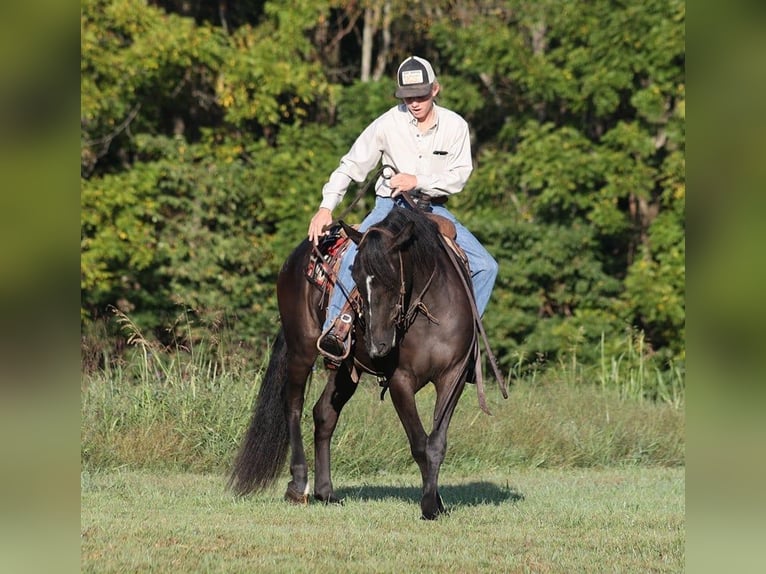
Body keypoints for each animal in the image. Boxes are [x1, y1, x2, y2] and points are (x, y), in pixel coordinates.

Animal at [229, 202, 505, 519]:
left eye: (392, 278)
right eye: (357, 279)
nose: (378, 344)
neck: (428, 312)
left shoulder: (453, 376)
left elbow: (436, 443)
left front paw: (436, 503)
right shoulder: (400, 381)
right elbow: (419, 444)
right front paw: (428, 505)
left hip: (345, 369)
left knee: (324, 414)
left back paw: (326, 492)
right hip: (301, 349)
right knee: (293, 406)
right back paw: (299, 485)